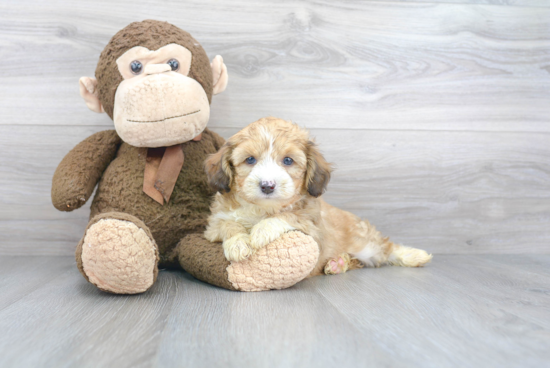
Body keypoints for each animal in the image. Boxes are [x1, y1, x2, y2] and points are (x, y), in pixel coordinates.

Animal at [205, 116, 434, 274]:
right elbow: (227, 224)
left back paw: (415, 255)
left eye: (288, 161)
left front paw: (261, 230)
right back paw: (338, 263)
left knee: (386, 248)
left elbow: (288, 216)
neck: (263, 208)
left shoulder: (313, 230)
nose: (267, 186)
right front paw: (238, 243)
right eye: (250, 159)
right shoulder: (213, 227)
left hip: (368, 244)